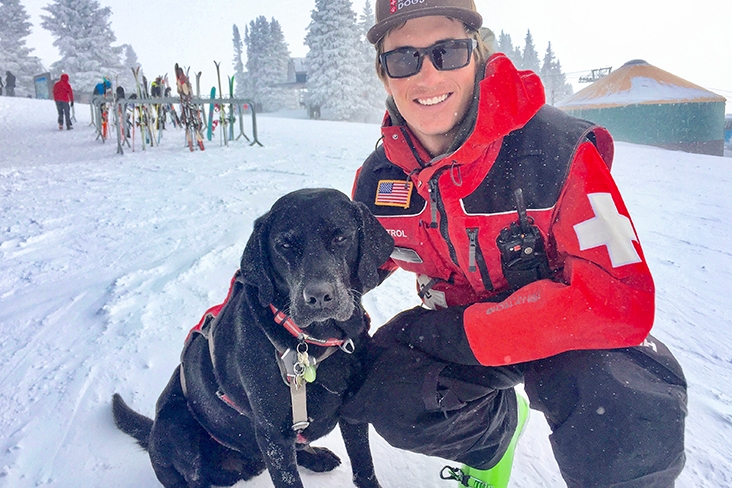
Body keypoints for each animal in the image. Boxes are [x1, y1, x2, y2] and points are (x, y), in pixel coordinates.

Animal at [111, 188, 392, 488]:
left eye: (341, 237)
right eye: (284, 245)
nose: (318, 297)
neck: (311, 343)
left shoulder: (352, 409)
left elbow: (364, 467)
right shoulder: (273, 435)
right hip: (175, 425)